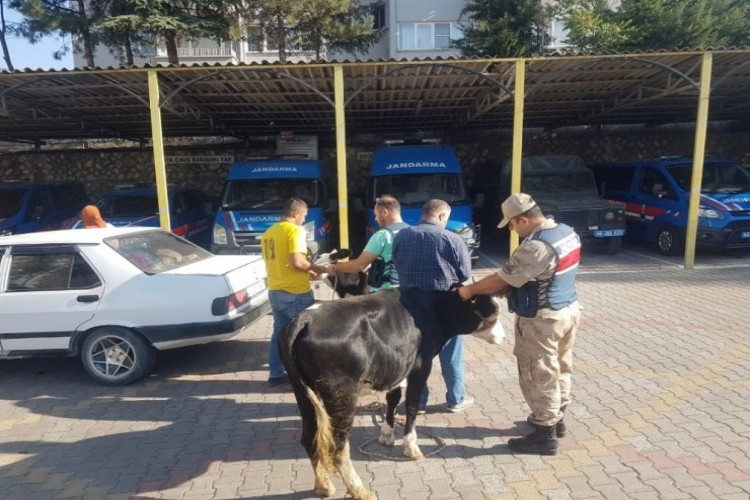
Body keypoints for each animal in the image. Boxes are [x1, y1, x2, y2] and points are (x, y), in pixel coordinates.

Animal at [280, 288, 502, 498]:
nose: (503, 336)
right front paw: (411, 448)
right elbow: (411, 406)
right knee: (337, 447)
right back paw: (360, 491)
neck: (433, 308)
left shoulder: (398, 366)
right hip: (342, 394)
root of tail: (306, 318)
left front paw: (386, 435)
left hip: (303, 393)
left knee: (309, 438)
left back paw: (324, 486)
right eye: (494, 312)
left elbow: (392, 398)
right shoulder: (421, 366)